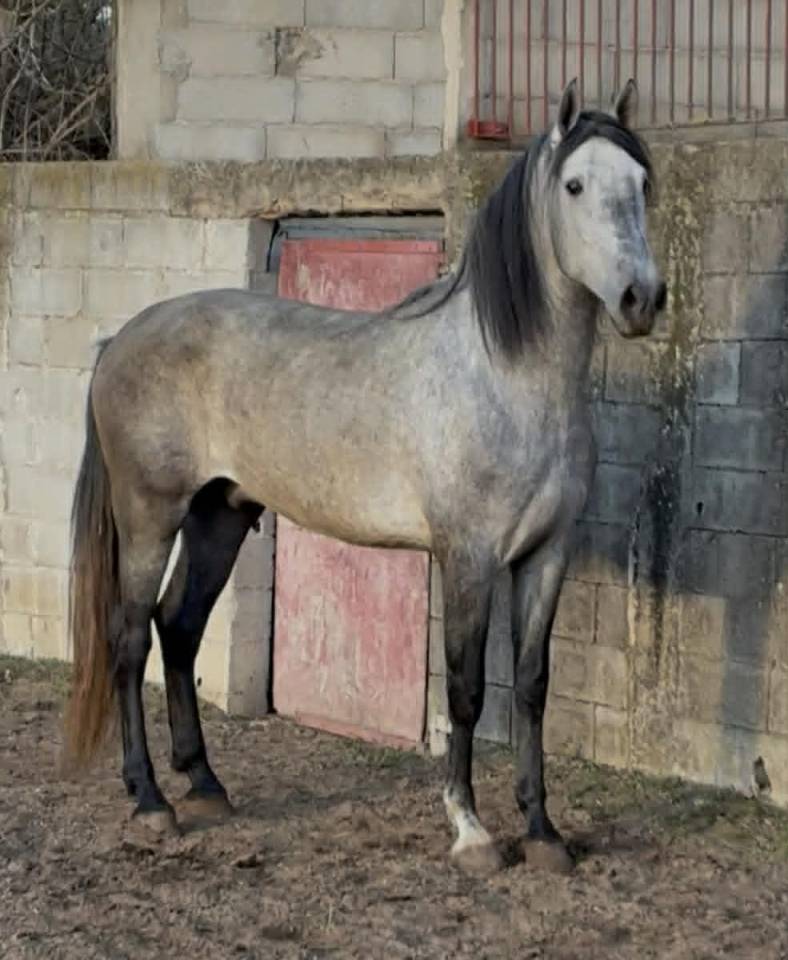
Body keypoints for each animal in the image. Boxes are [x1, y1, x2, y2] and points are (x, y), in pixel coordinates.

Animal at [64, 79, 666, 875]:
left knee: (180, 627)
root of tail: (120, 339)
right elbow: (467, 691)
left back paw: (206, 785)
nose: (641, 299)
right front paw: (471, 831)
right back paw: (151, 800)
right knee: (130, 639)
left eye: (642, 184)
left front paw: (543, 834)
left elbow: (533, 688)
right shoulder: (467, 557)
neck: (504, 377)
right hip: (149, 518)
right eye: (574, 185)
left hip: (219, 516)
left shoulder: (546, 554)